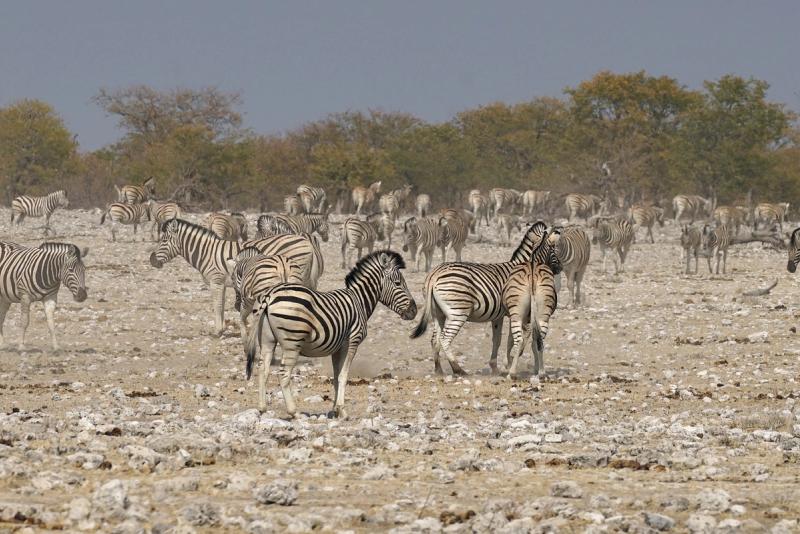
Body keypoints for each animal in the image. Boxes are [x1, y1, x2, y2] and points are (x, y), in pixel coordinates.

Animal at [150, 219, 324, 336]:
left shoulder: (216, 281)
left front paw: (218, 331)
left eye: (163, 240)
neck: (206, 252)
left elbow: (217, 305)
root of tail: (307, 242)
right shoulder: (222, 283)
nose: (151, 260)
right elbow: (221, 306)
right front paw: (223, 328)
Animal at [244, 250, 416, 417]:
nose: (414, 311)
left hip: (267, 340)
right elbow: (343, 375)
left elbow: (335, 376)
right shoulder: (352, 341)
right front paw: (342, 410)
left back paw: (262, 408)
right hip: (292, 342)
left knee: (263, 369)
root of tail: (269, 295)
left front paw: (335, 410)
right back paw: (294, 412)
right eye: (398, 283)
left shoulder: (337, 349)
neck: (359, 301)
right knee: (283, 374)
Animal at [410, 222, 555, 376]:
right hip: (458, 312)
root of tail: (434, 274)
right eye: (553, 248)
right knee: (445, 338)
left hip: (438, 313)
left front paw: (496, 366)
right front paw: (508, 364)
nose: (557, 269)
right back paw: (458, 369)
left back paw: (439, 370)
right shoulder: (515, 313)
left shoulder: (499, 316)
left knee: (434, 340)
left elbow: (498, 339)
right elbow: (512, 339)